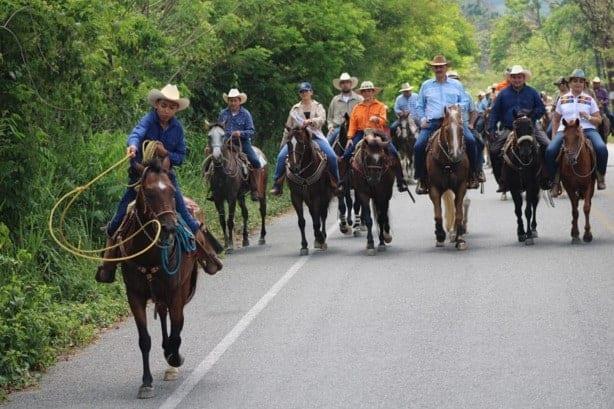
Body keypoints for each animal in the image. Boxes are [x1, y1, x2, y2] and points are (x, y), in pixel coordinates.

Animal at [115, 157, 221, 398]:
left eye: (172, 191)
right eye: (148, 192)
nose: (170, 228)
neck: (148, 255)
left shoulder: (175, 292)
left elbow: (177, 329)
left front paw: (174, 358)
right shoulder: (134, 295)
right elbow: (144, 340)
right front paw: (146, 383)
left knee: (174, 323)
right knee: (163, 315)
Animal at [206, 124, 268, 252]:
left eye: (223, 135)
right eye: (209, 136)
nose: (216, 157)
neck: (222, 173)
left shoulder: (231, 198)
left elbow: (230, 221)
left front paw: (230, 245)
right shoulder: (218, 198)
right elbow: (222, 221)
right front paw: (225, 245)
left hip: (262, 191)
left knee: (263, 211)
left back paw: (262, 237)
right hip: (241, 196)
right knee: (245, 213)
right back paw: (245, 240)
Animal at [428, 103, 472, 249]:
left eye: (461, 129)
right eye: (446, 130)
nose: (456, 154)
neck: (448, 163)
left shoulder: (461, 186)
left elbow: (458, 212)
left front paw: (460, 239)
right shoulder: (434, 188)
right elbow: (438, 214)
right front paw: (440, 236)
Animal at [506, 110, 544, 244]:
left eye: (530, 127)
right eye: (516, 128)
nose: (526, 152)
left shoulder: (531, 185)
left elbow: (528, 210)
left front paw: (528, 235)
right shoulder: (513, 187)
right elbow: (517, 210)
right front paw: (521, 233)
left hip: (537, 186)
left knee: (534, 204)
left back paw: (533, 229)